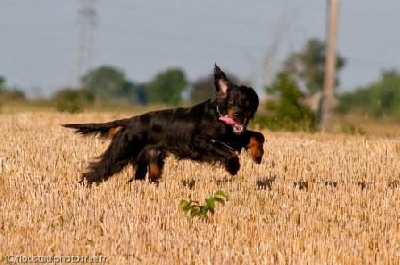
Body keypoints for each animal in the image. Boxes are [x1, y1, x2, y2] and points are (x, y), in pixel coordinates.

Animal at [62, 65, 264, 183]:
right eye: (231, 102)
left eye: (246, 102)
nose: (237, 114)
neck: (218, 115)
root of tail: (128, 122)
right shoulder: (200, 142)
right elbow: (228, 153)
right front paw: (233, 167)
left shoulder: (232, 136)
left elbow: (257, 135)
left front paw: (257, 155)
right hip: (121, 152)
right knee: (97, 171)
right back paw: (83, 185)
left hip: (150, 160)